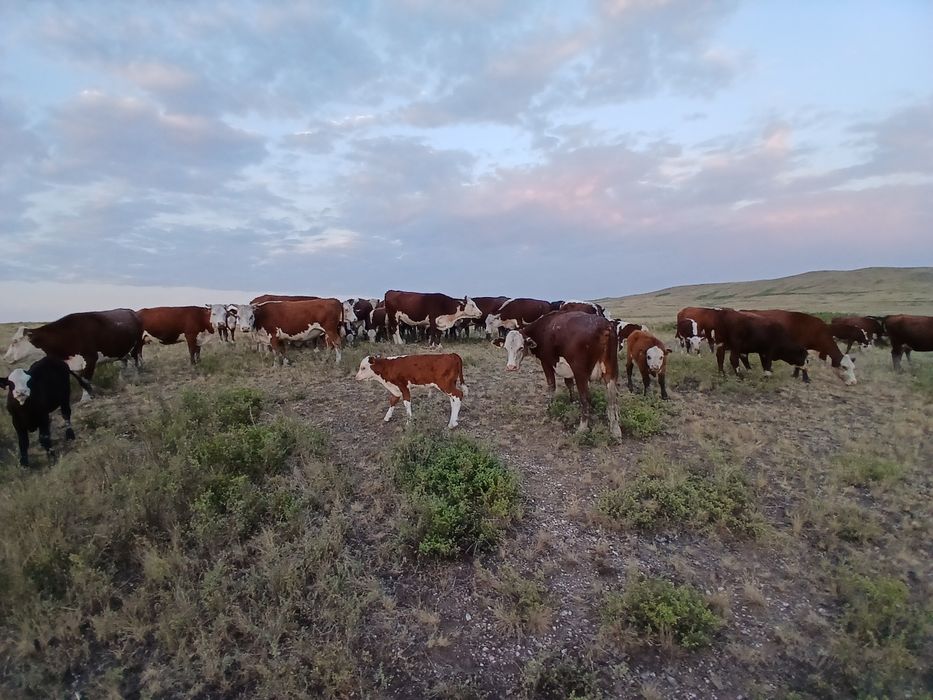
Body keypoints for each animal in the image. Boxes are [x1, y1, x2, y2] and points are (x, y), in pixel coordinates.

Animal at [3, 309, 142, 401]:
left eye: (15, 341)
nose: (5, 358)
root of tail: (131, 311)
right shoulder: (72, 365)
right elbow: (81, 382)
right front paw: (88, 396)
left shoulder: (90, 359)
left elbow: (85, 380)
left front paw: (86, 399)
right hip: (122, 351)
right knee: (124, 363)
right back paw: (122, 380)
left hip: (136, 347)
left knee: (136, 362)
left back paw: (136, 379)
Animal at [492, 311, 622, 438]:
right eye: (506, 348)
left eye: (521, 347)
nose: (511, 367)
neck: (542, 329)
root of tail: (604, 326)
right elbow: (569, 384)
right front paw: (572, 401)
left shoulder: (546, 364)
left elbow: (551, 386)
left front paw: (549, 407)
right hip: (611, 371)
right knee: (612, 398)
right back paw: (615, 429)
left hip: (581, 373)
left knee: (586, 399)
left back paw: (582, 428)